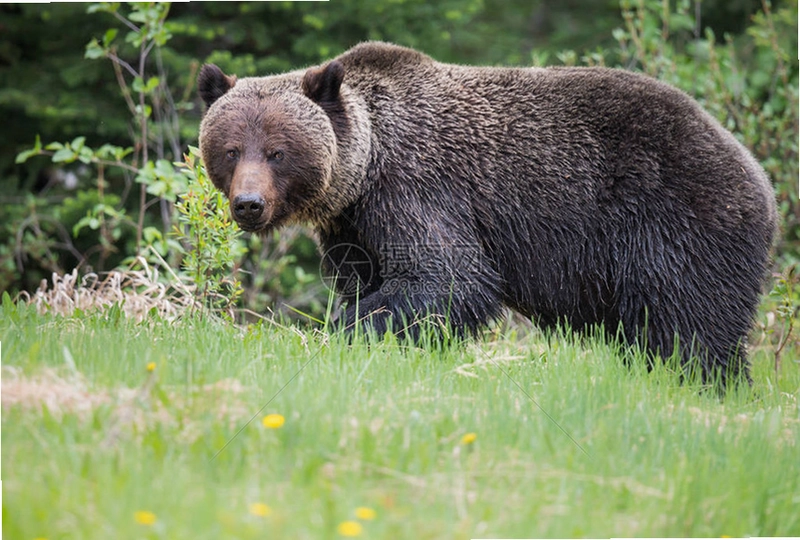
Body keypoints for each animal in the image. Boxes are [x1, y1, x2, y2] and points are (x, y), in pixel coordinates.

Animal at [197, 41, 777, 387]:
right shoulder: (353, 226)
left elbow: (447, 275)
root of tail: (757, 173)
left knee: (689, 321)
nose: (249, 204)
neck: (364, 171)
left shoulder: (418, 189)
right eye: (230, 149)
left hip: (676, 220)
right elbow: (371, 278)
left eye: (278, 151)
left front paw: (345, 331)